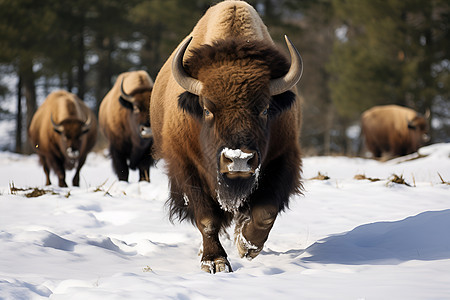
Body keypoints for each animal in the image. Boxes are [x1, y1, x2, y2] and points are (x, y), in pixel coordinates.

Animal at [150, 0, 302, 274]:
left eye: (265, 109)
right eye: (207, 109)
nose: (238, 160)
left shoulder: (283, 159)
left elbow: (265, 213)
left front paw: (247, 246)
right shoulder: (186, 167)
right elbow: (207, 219)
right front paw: (215, 261)